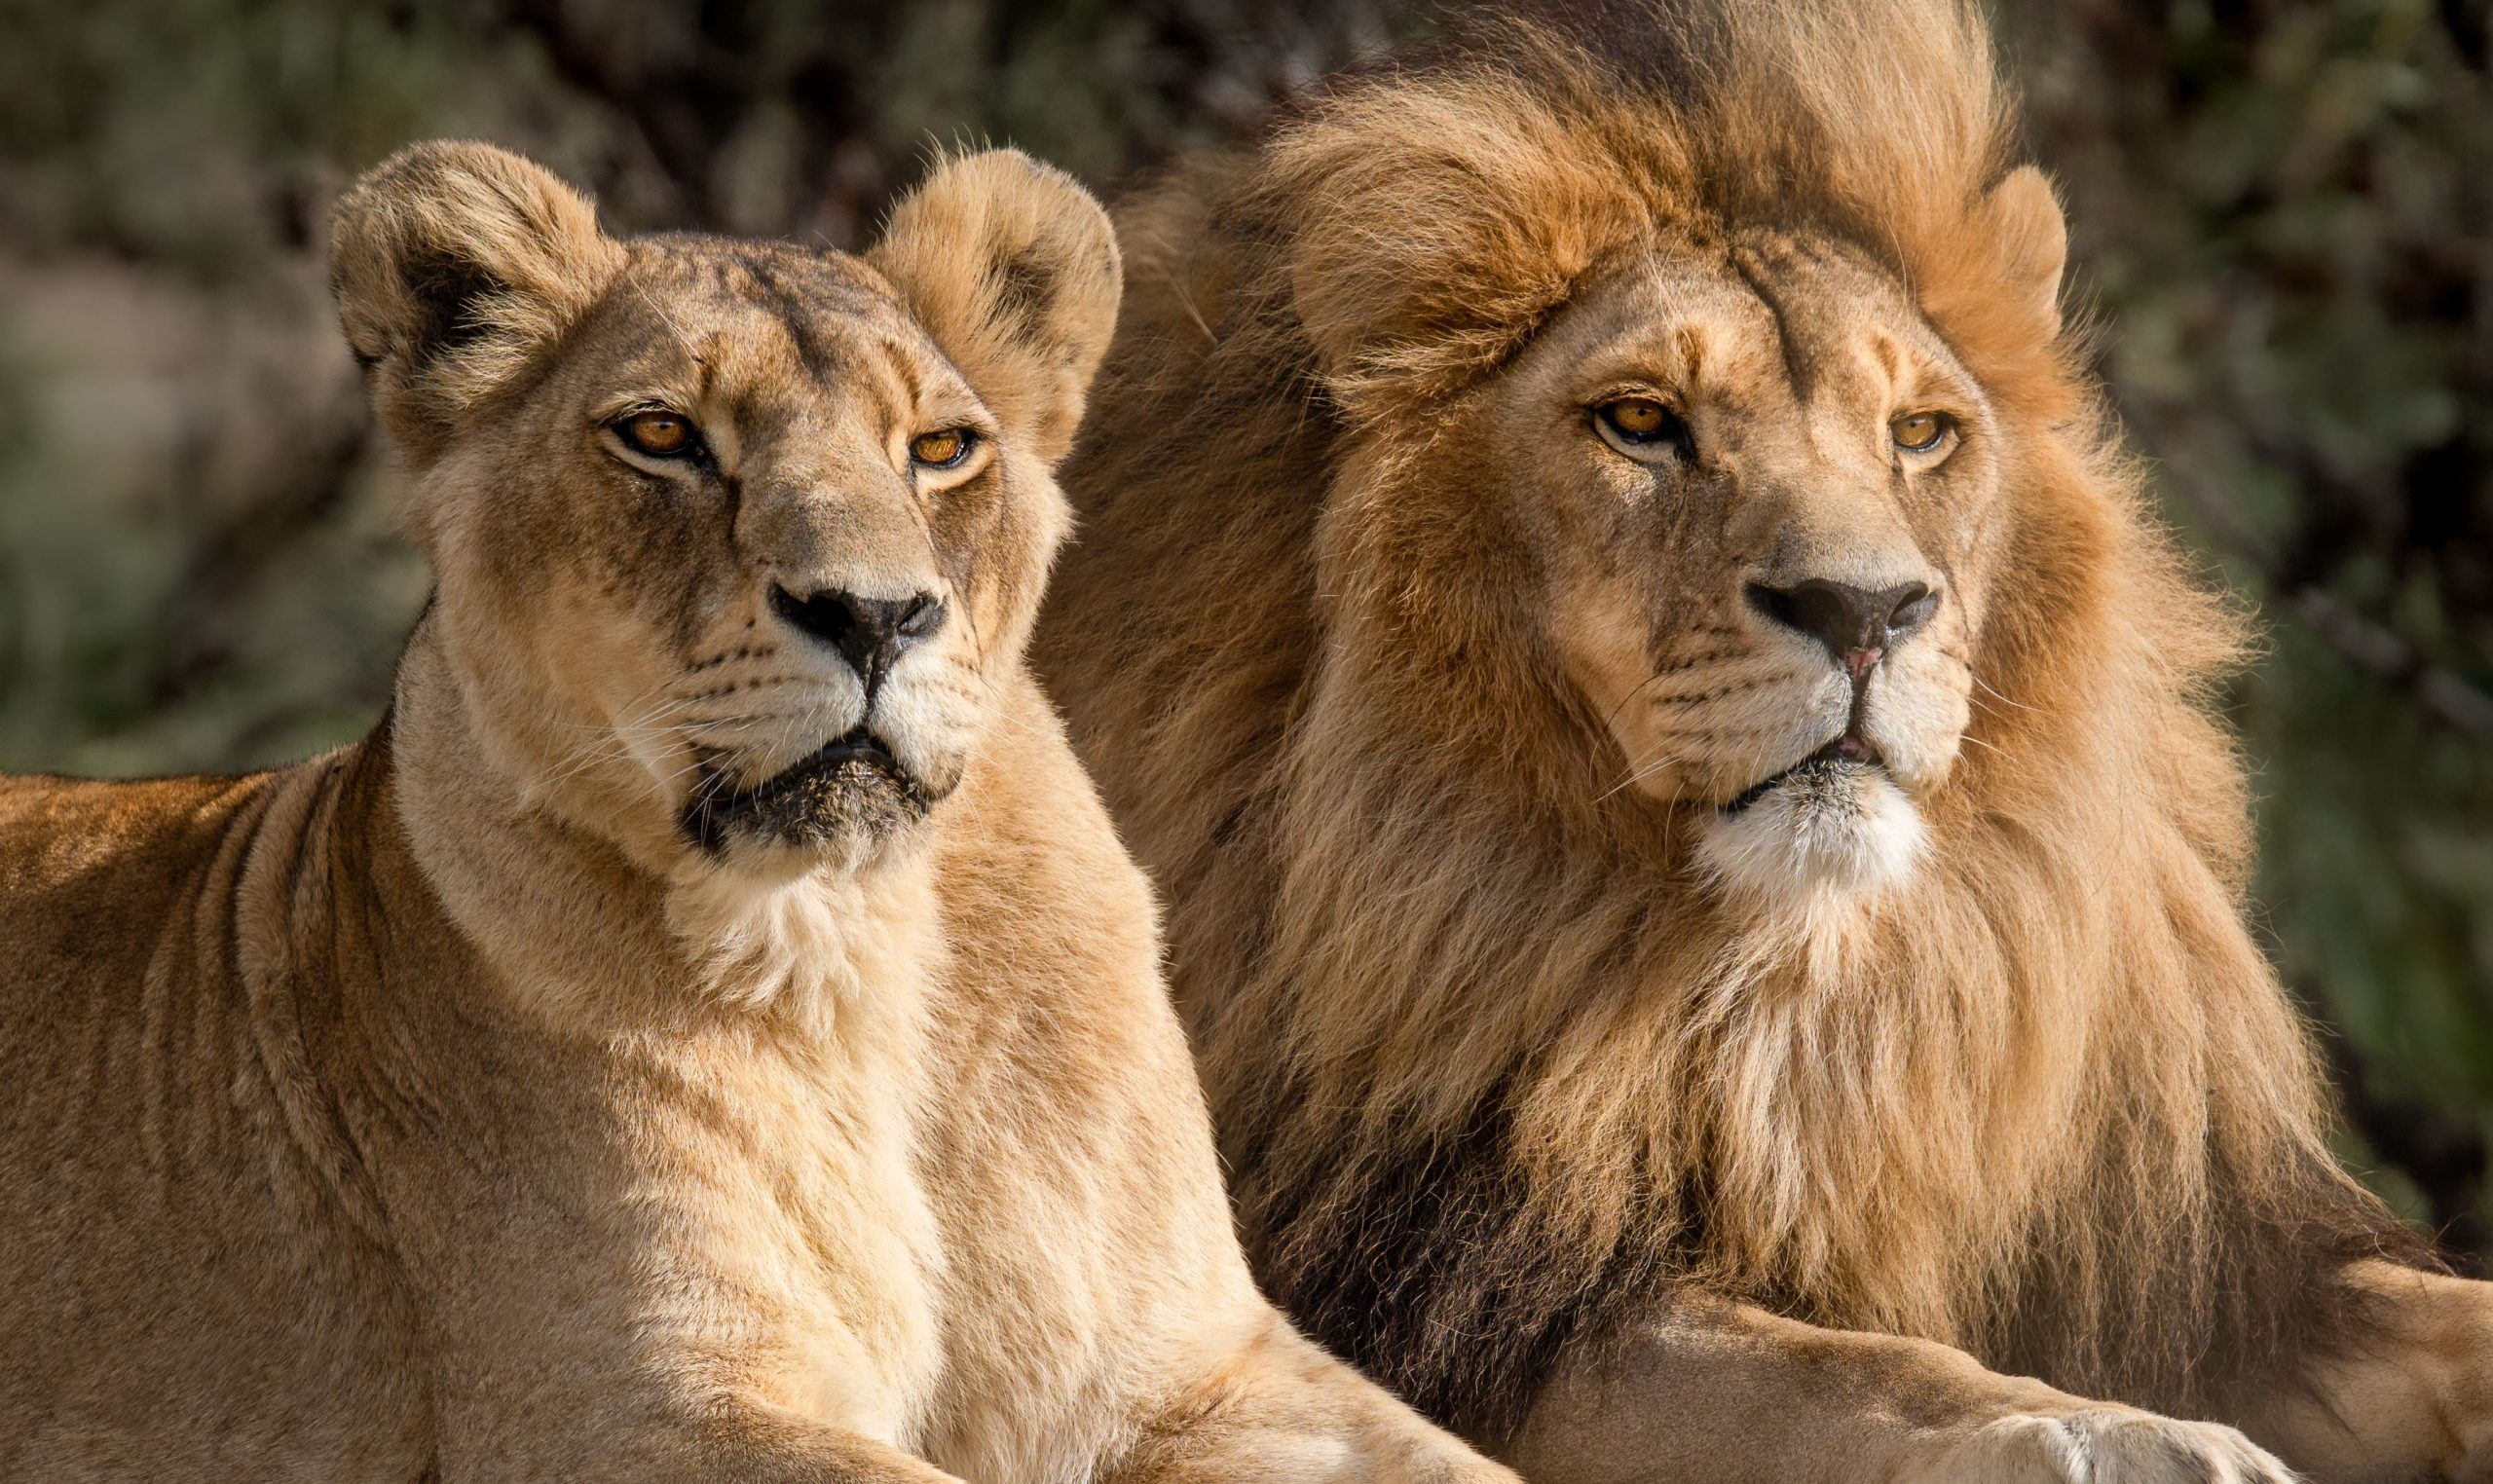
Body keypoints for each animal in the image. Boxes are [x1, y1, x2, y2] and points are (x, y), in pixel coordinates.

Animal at [0, 139, 1515, 1484]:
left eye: (942, 447)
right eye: (664, 436)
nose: (876, 615)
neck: (861, 942)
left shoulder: (1183, 1372)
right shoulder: (635, 1413)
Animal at [1042, 2, 2493, 1484]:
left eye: (1921, 434)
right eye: (1640, 422)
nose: (1865, 610)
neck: (1793, 991)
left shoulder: (2196, 1258)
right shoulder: (1447, 1282)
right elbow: (1832, 1372)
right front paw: (2108, 1433)